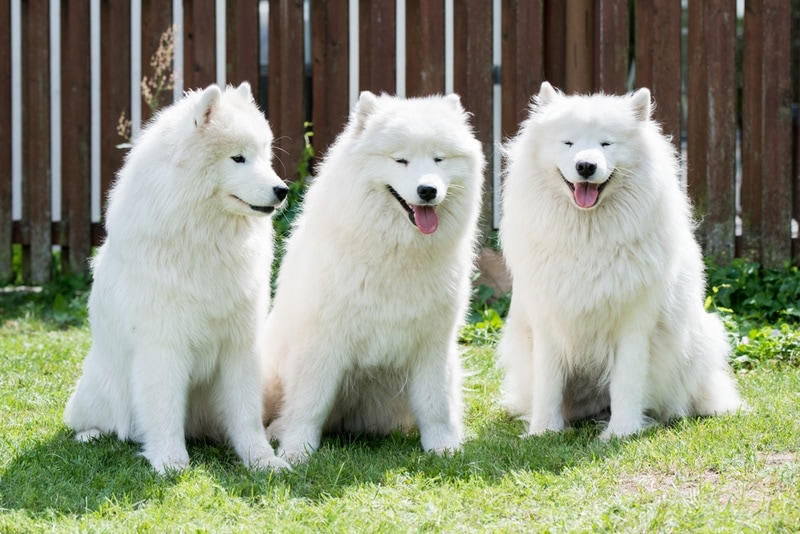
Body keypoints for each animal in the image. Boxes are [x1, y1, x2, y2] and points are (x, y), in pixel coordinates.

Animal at [64, 82, 290, 474]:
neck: (205, 238)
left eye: (265, 156)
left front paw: (261, 460)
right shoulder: (163, 344)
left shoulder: (239, 344)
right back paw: (91, 435)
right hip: (95, 387)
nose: (283, 190)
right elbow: (163, 409)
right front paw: (171, 463)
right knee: (85, 421)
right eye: (238, 158)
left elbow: (245, 414)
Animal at [264, 90, 488, 462]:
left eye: (439, 159)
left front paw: (443, 447)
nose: (428, 190)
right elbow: (309, 403)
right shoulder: (322, 341)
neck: (396, 252)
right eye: (401, 161)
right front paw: (296, 450)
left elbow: (435, 404)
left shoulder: (432, 344)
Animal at [500, 80, 744, 440]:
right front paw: (544, 430)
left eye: (606, 143)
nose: (586, 166)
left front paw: (621, 432)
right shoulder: (548, 320)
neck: (588, 238)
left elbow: (627, 382)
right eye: (568, 142)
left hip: (704, 337)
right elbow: (549, 383)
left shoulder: (634, 321)